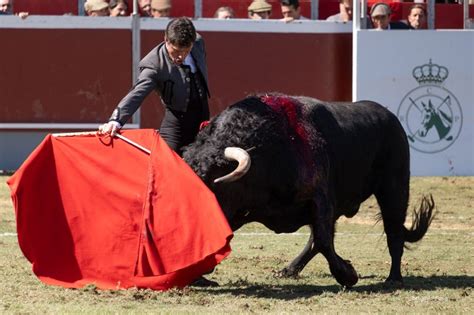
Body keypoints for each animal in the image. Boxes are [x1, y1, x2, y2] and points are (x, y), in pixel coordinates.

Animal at [183, 92, 436, 288]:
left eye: (209, 179)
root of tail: (390, 118)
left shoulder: (320, 198)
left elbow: (324, 240)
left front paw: (348, 275)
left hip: (394, 188)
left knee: (393, 232)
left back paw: (394, 278)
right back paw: (288, 270)